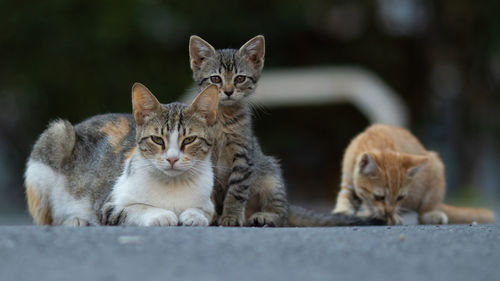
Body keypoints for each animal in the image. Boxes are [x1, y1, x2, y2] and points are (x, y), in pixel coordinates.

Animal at [24, 82, 218, 225]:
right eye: (157, 139)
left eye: (189, 140)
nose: (172, 158)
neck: (172, 185)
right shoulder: (108, 206)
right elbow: (138, 208)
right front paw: (162, 215)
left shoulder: (209, 205)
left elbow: (204, 212)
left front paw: (194, 216)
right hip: (56, 135)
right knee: (49, 221)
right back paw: (74, 221)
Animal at [189, 35, 384, 228]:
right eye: (216, 79)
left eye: (240, 79)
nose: (228, 91)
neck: (223, 119)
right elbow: (208, 192)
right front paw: (210, 215)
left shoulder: (243, 156)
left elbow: (236, 192)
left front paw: (231, 216)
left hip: (272, 178)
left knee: (282, 216)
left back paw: (264, 217)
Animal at [334, 123, 494, 224]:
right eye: (378, 197)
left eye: (400, 198)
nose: (389, 212)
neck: (375, 139)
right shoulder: (348, 175)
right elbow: (346, 194)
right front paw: (343, 209)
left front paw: (393, 216)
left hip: (436, 168)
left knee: (425, 210)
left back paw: (432, 214)